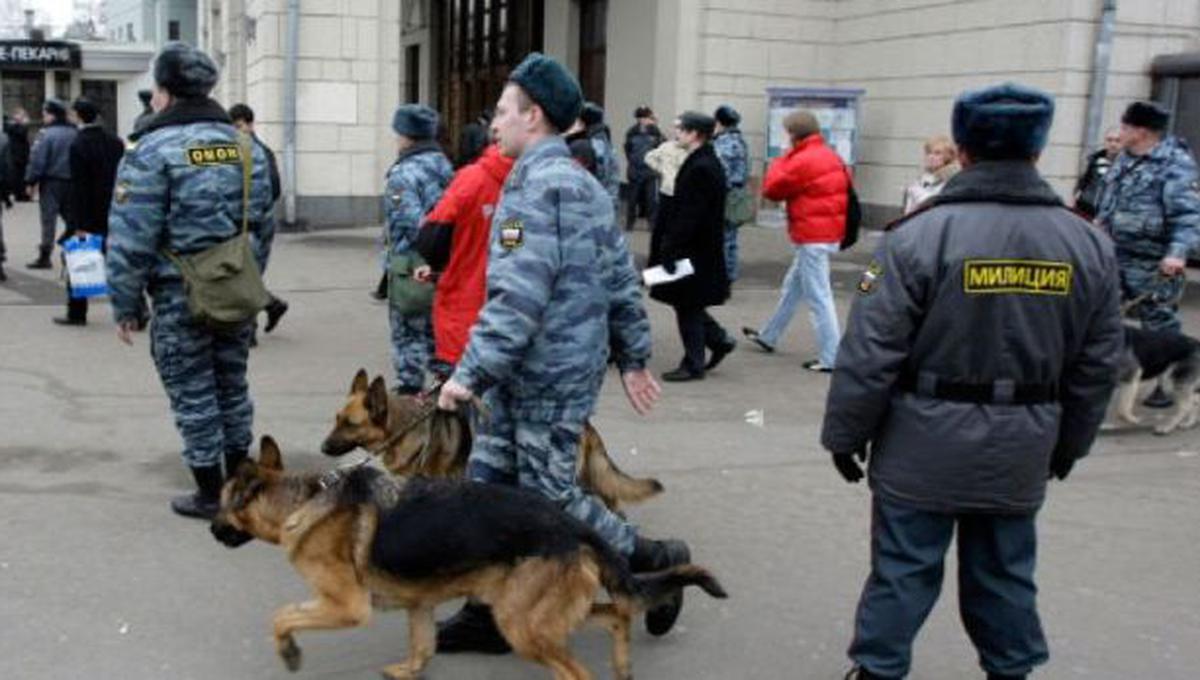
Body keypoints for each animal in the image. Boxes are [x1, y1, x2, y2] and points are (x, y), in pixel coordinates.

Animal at [211, 438, 724, 676]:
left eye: (221, 502)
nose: (211, 527)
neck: (303, 501)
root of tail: (572, 525)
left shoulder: (346, 607)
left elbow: (281, 617)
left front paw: (290, 653)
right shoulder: (419, 605)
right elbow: (421, 646)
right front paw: (409, 672)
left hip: (521, 623)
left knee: (578, 670)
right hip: (536, 614)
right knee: (616, 615)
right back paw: (623, 664)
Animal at [324, 371, 667, 510]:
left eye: (350, 424)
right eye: (335, 418)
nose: (323, 448)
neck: (404, 426)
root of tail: (585, 425)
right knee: (610, 495)